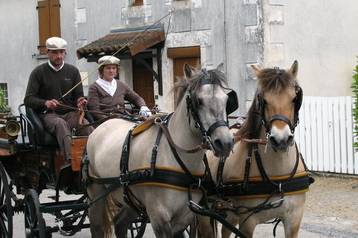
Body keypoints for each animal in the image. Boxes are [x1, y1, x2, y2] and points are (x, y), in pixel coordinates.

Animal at [86, 63, 238, 238]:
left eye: (226, 100)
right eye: (198, 101)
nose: (225, 143)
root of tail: (102, 125)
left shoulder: (184, 217)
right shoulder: (159, 218)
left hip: (131, 200)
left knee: (120, 223)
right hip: (96, 194)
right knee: (97, 227)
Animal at [199, 61, 314, 238]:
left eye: (295, 98)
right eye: (264, 100)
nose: (281, 140)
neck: (277, 180)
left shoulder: (294, 219)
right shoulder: (248, 221)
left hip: (230, 212)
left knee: (225, 230)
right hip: (207, 213)